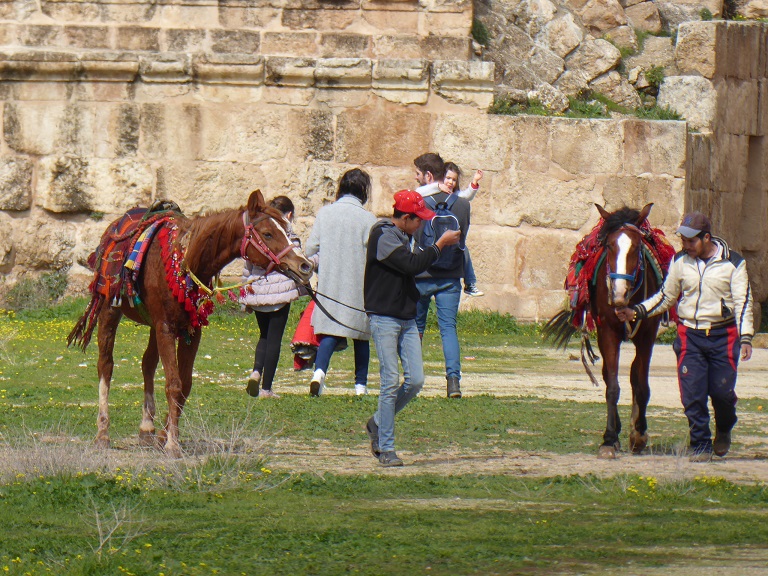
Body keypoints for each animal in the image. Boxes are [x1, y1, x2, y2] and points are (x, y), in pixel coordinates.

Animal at [67, 191, 314, 456]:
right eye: (268, 233)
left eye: (286, 230)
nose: (305, 265)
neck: (187, 259)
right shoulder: (166, 327)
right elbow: (173, 384)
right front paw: (172, 444)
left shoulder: (191, 331)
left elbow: (184, 384)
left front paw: (165, 435)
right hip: (110, 309)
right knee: (106, 365)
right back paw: (103, 433)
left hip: (152, 324)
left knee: (147, 364)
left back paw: (147, 428)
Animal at [544, 202, 664, 460]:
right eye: (609, 245)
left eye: (637, 246)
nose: (618, 294)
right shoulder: (608, 332)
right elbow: (612, 386)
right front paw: (609, 440)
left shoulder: (647, 335)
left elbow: (641, 385)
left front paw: (639, 435)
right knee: (610, 376)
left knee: (634, 375)